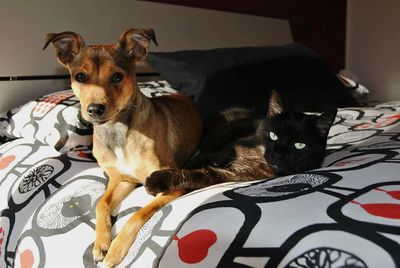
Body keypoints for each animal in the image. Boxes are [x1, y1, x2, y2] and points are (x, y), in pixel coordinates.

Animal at [43, 28, 203, 266]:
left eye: (117, 76)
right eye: (80, 76)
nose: (95, 109)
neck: (118, 134)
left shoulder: (172, 185)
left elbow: (138, 214)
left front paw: (115, 251)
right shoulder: (122, 180)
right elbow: (101, 203)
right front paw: (101, 243)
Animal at [145, 90, 338, 195]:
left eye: (299, 145)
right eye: (273, 135)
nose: (277, 154)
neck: (256, 158)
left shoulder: (230, 176)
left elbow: (198, 175)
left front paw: (158, 181)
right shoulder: (218, 151)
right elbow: (190, 165)